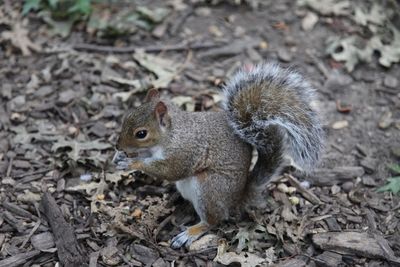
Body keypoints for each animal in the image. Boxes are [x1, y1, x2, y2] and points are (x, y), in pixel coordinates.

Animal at [112, 62, 322, 249]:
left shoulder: (185, 152)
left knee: (214, 220)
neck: (171, 135)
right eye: (127, 117)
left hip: (209, 188)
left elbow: (170, 171)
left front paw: (133, 163)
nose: (118, 145)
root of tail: (238, 199)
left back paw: (190, 233)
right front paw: (120, 157)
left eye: (141, 133)